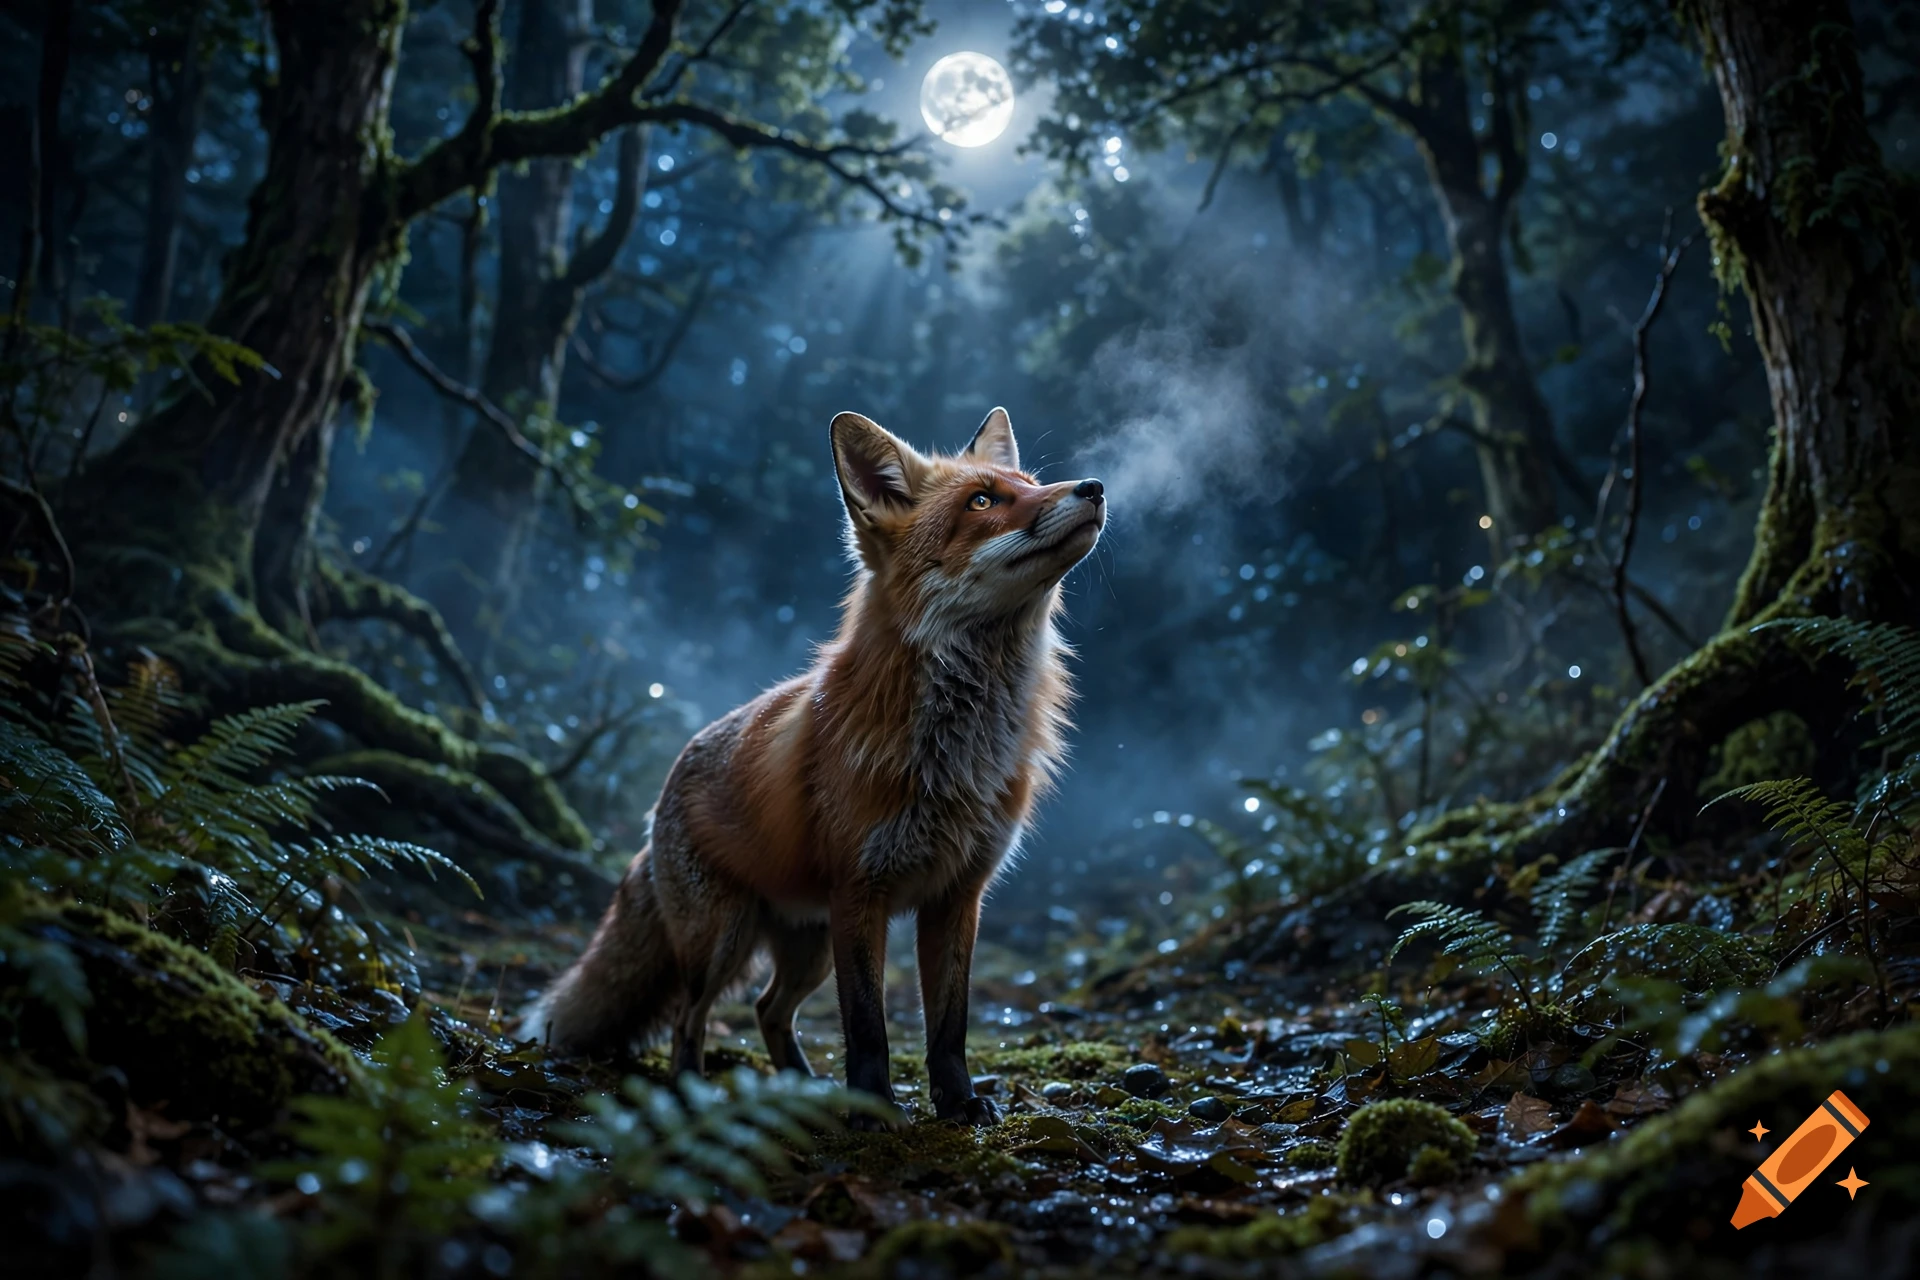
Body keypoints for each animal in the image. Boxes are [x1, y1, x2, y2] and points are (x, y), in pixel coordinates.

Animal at [522, 406, 1106, 1125]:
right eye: (982, 501)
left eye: (1031, 483)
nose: (1093, 487)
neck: (953, 753)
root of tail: (663, 791)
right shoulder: (861, 891)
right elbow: (868, 1029)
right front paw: (875, 1114)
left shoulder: (958, 895)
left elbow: (949, 1026)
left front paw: (958, 1105)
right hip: (724, 942)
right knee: (692, 1017)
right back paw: (693, 1095)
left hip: (808, 949)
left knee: (768, 1010)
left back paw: (802, 1090)